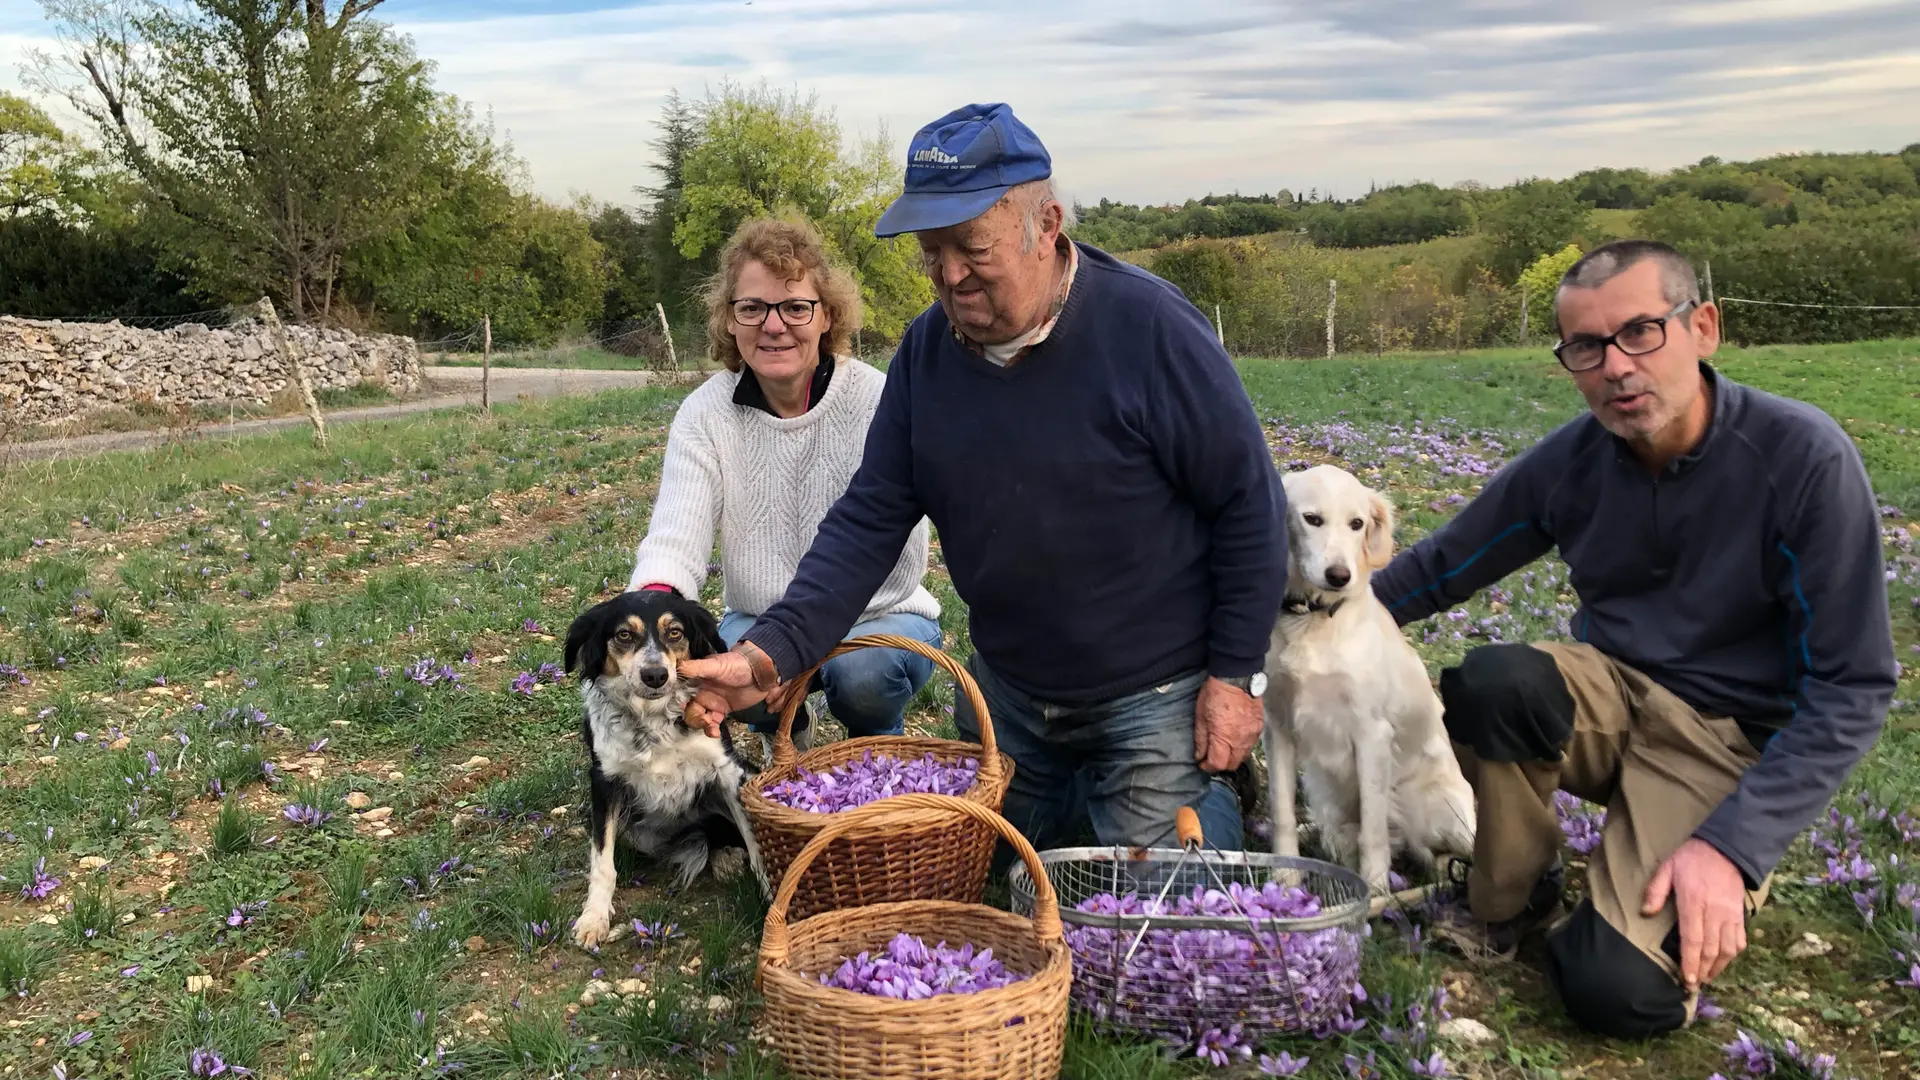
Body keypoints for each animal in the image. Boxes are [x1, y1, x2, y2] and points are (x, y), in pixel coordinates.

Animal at [560, 584, 764, 945]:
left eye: (675, 632)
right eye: (624, 635)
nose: (655, 675)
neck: (653, 720)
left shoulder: (727, 771)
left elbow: (754, 839)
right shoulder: (604, 783)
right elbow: (602, 860)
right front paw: (593, 918)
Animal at [1267, 463, 1474, 891]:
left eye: (1357, 523)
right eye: (1312, 519)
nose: (1339, 575)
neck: (1313, 620)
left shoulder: (1371, 734)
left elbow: (1373, 831)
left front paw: (1376, 890)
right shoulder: (1277, 725)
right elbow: (1282, 812)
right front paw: (1285, 876)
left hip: (1439, 807)